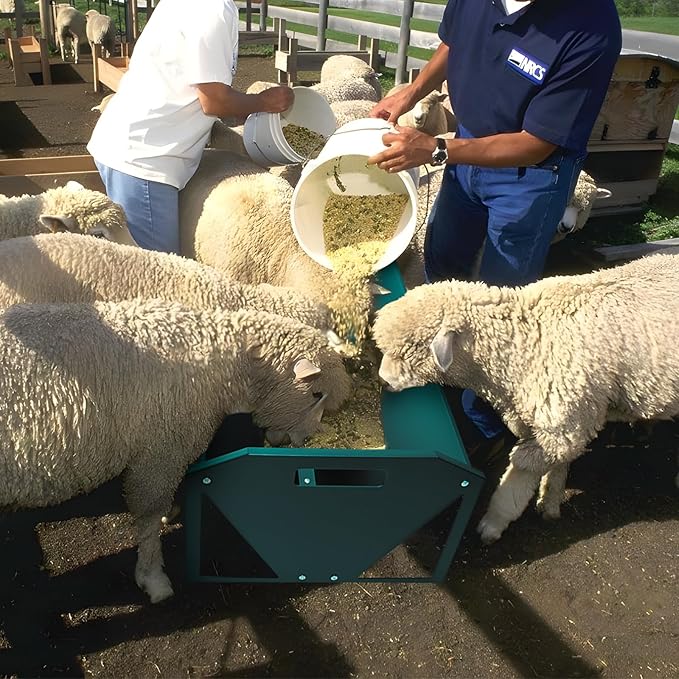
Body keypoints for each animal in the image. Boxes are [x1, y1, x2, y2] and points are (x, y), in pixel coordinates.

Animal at [373, 254, 679, 543]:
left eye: (411, 348)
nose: (382, 381)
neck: (524, 342)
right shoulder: (567, 417)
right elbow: (558, 466)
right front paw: (550, 502)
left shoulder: (560, 425)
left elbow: (519, 474)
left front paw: (493, 524)